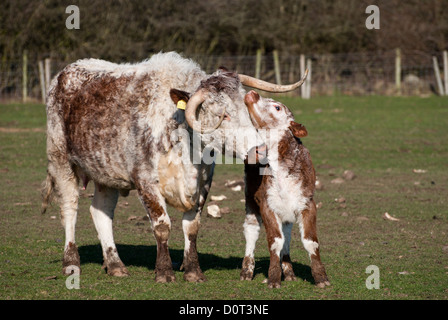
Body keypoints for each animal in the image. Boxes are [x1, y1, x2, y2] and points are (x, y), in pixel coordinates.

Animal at [240, 90, 330, 288]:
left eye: (277, 107)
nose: (252, 93)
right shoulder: (267, 204)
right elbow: (275, 241)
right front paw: (273, 278)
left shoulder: (307, 203)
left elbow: (310, 241)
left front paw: (321, 278)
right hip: (250, 198)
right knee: (251, 231)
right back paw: (246, 271)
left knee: (287, 234)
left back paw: (289, 271)